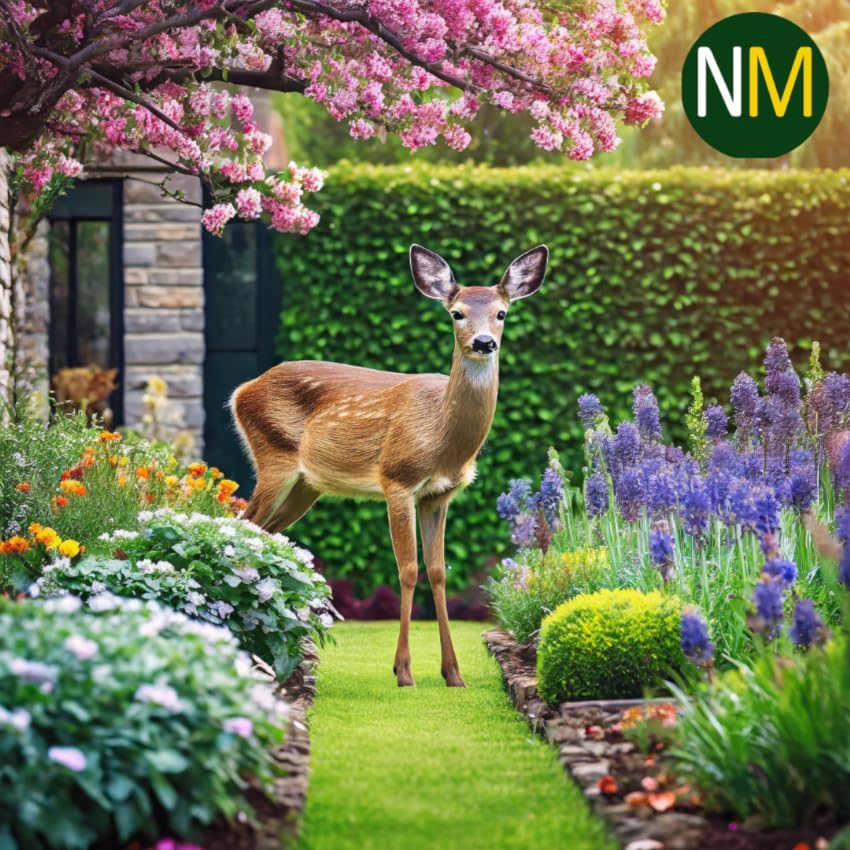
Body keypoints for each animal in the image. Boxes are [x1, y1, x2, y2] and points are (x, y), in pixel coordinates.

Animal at [230, 244, 548, 688]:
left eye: (502, 313)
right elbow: (408, 569)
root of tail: (241, 390)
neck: (441, 437)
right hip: (274, 458)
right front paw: (403, 671)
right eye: (457, 313)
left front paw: (453, 674)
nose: (484, 342)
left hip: (305, 487)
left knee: (263, 533)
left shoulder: (440, 494)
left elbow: (438, 570)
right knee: (239, 523)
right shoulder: (397, 479)